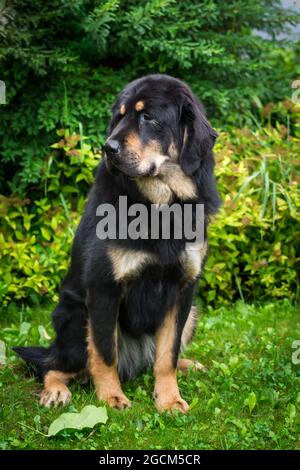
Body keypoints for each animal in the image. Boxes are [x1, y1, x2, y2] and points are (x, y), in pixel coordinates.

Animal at [14, 73, 219, 412]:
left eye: (147, 117)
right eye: (120, 117)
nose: (107, 148)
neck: (160, 205)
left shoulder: (182, 290)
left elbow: (167, 355)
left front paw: (169, 399)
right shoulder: (104, 288)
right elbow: (105, 353)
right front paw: (111, 397)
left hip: (191, 314)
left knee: (157, 358)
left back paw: (189, 365)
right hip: (74, 318)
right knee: (54, 365)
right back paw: (56, 391)